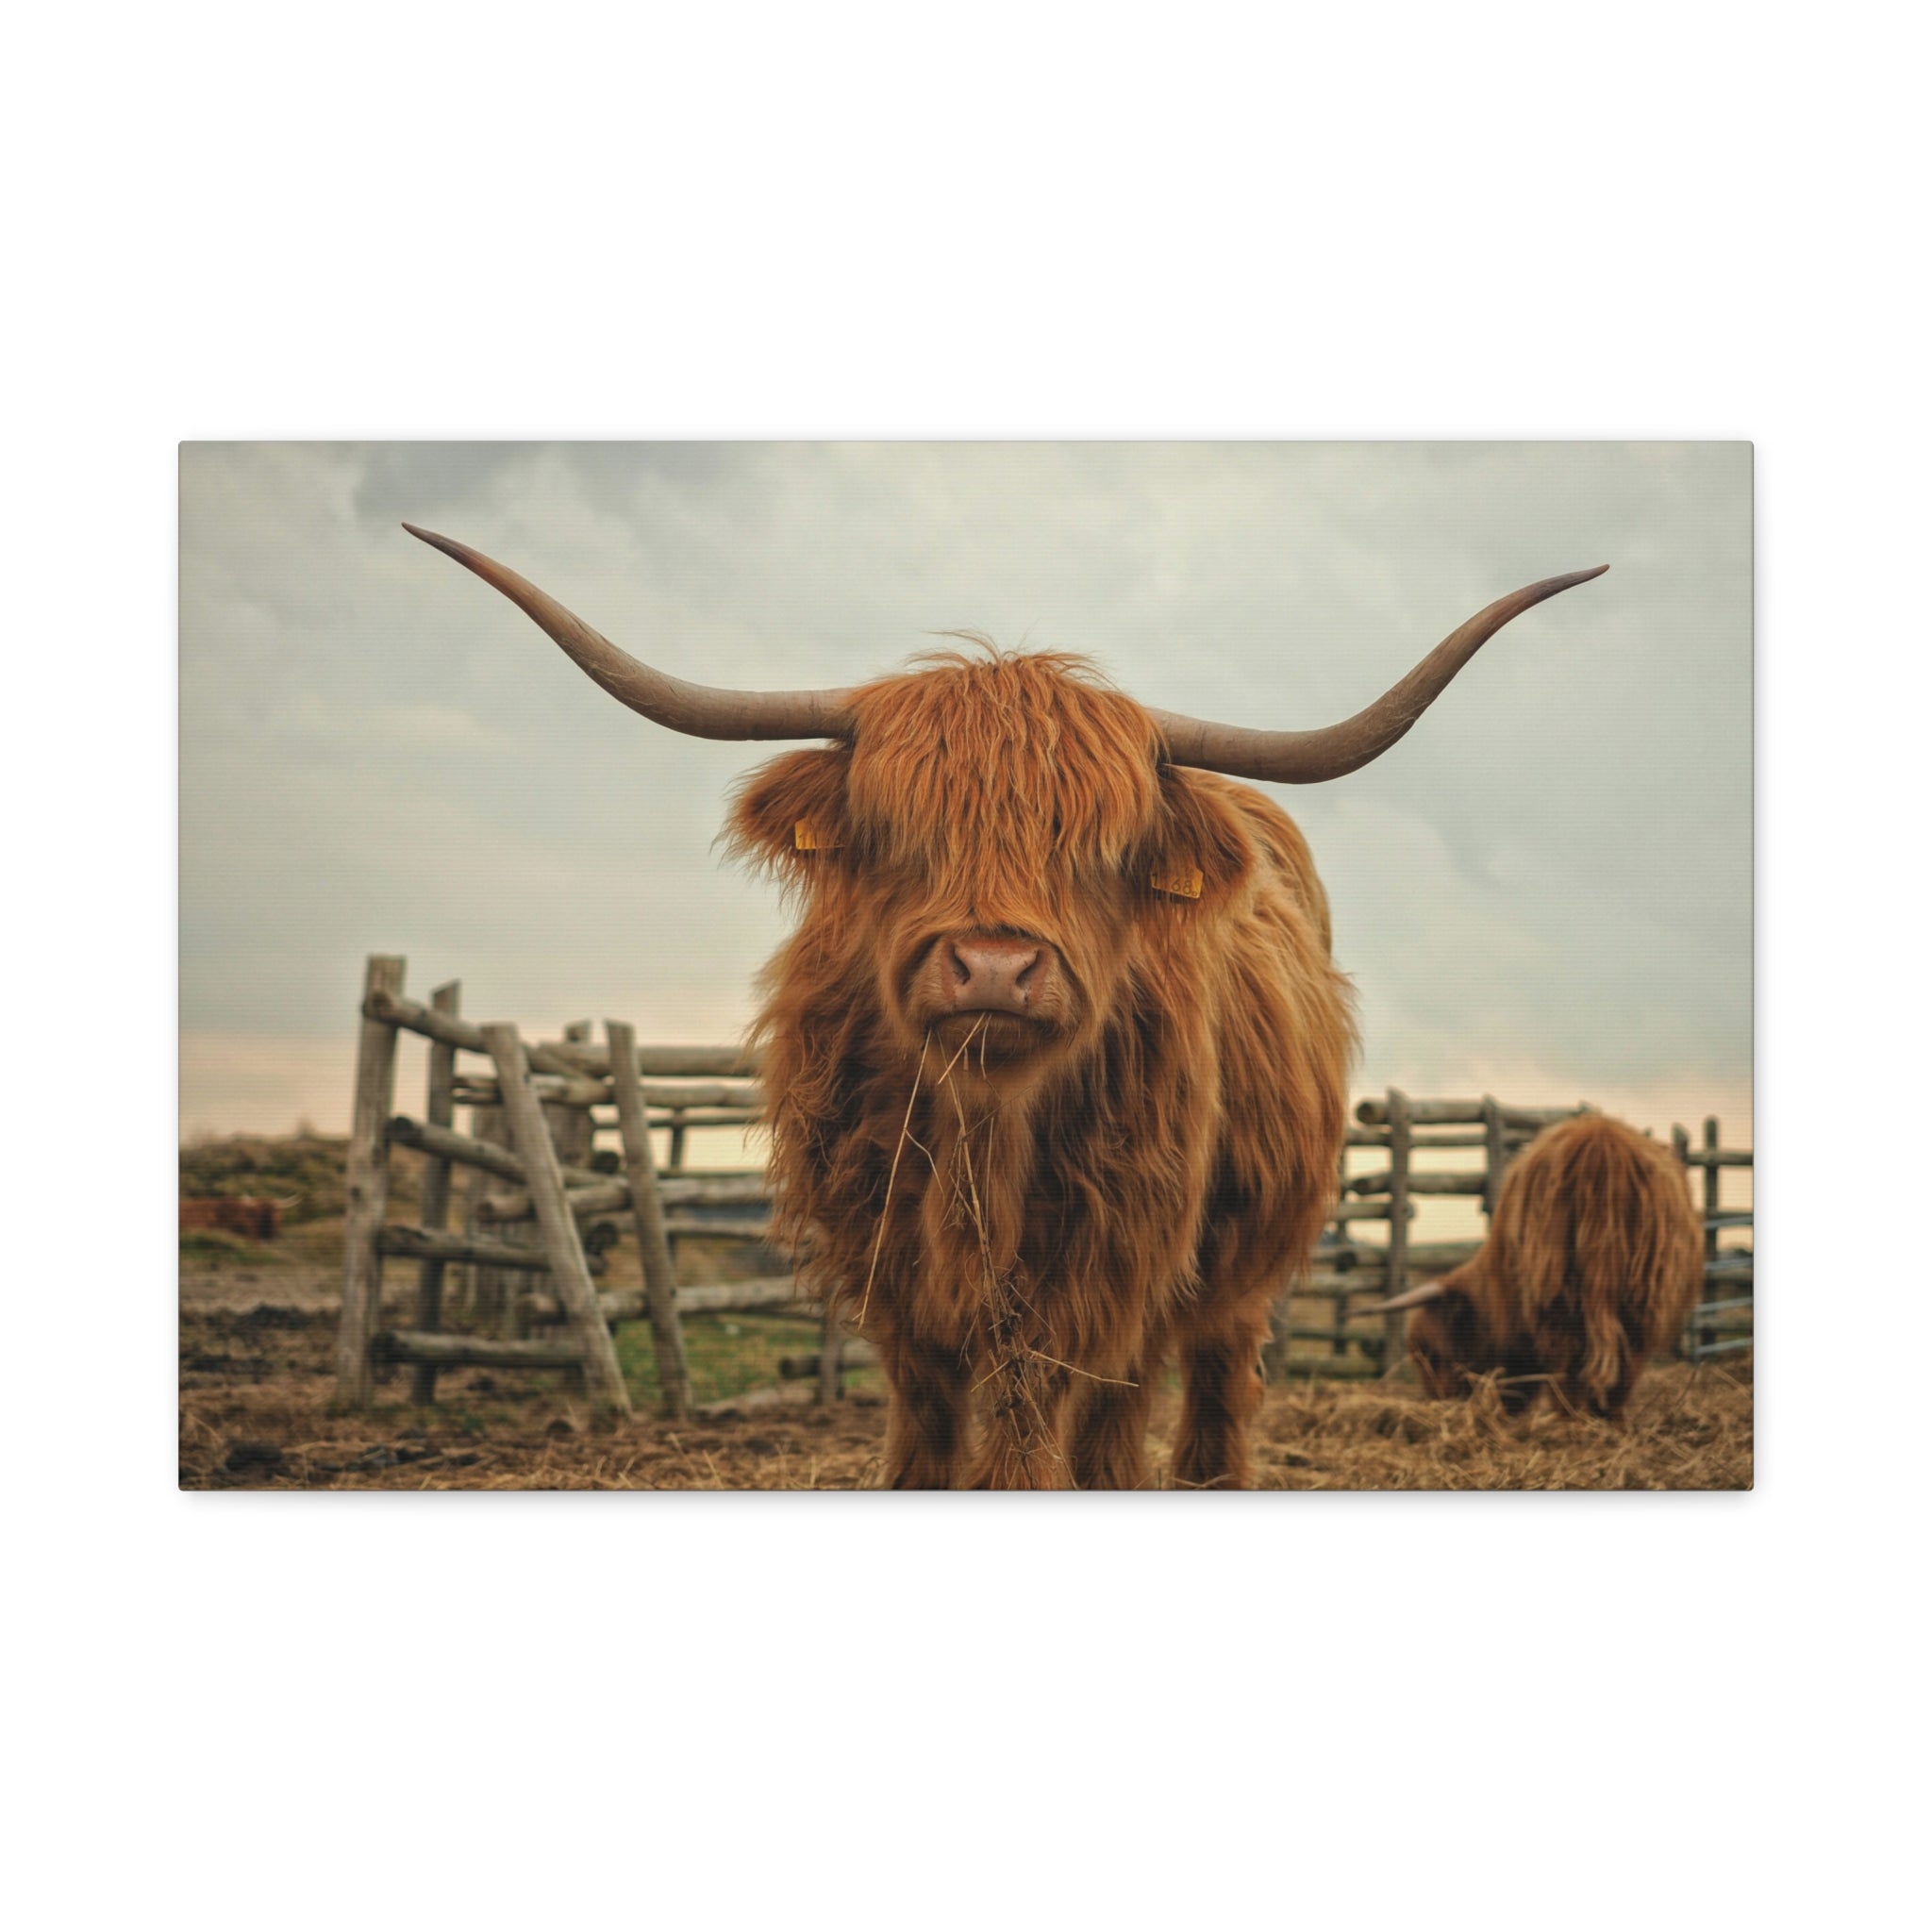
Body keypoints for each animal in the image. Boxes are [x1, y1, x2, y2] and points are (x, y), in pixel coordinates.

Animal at [405, 523, 1605, 1487]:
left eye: (1101, 847)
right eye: (898, 829)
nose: (991, 967)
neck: (981, 1132)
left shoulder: (1098, 1267)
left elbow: (1037, 1425)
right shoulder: (888, 1271)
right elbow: (928, 1428)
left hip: (1229, 1265)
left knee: (1190, 1392)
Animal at [1358, 1112, 1703, 1422]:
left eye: (1431, 1353)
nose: (1438, 1401)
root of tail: (1600, 1142)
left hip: (1557, 1289)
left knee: (1571, 1354)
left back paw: (1569, 1416)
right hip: (1643, 1292)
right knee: (1627, 1355)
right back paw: (1607, 1416)